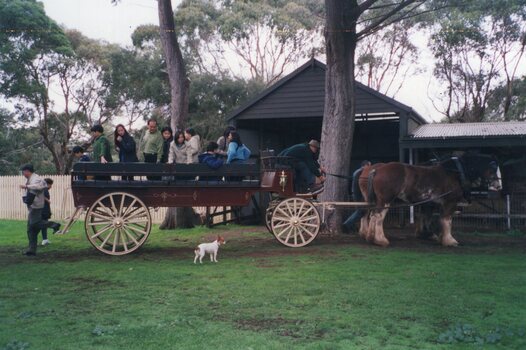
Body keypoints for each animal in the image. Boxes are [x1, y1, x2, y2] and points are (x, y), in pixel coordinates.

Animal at [358, 154, 504, 247]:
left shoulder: (432, 203)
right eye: (492, 168)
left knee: (371, 215)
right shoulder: (449, 202)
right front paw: (449, 240)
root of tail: (377, 170)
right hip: (385, 200)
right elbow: (447, 220)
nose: (498, 186)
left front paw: (431, 235)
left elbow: (429, 218)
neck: (455, 173)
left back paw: (370, 237)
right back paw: (381, 240)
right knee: (378, 217)